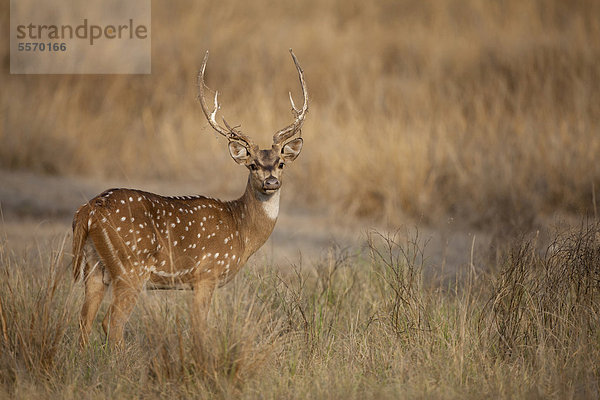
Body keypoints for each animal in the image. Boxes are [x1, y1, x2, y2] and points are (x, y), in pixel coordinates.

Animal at [74, 49, 310, 344]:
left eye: (280, 163)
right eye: (252, 164)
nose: (271, 182)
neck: (241, 230)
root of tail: (89, 210)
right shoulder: (207, 273)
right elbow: (199, 327)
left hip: (93, 265)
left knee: (84, 320)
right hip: (130, 267)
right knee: (112, 322)